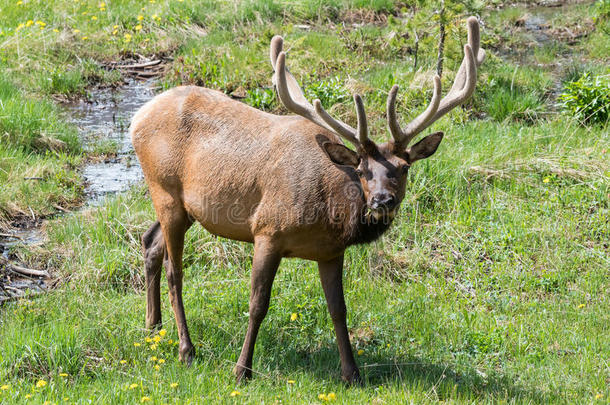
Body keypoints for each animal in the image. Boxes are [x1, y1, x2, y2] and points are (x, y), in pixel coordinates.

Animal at [131, 15, 482, 382]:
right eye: (362, 170)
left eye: (403, 168)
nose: (382, 201)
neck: (328, 213)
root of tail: (136, 117)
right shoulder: (266, 230)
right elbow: (257, 304)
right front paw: (242, 370)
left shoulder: (330, 252)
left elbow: (338, 309)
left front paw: (352, 373)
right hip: (165, 190)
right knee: (175, 271)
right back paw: (186, 350)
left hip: (184, 207)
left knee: (150, 241)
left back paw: (153, 326)